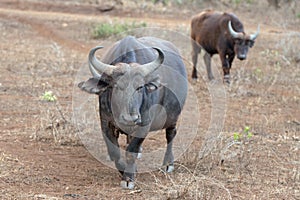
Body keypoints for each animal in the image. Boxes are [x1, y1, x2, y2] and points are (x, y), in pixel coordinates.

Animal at [77, 35, 188, 189]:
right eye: (117, 86)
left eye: (140, 87)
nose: (130, 118)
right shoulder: (105, 121)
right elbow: (115, 151)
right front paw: (125, 169)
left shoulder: (144, 124)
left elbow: (131, 151)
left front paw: (128, 178)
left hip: (173, 116)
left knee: (170, 135)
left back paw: (168, 163)